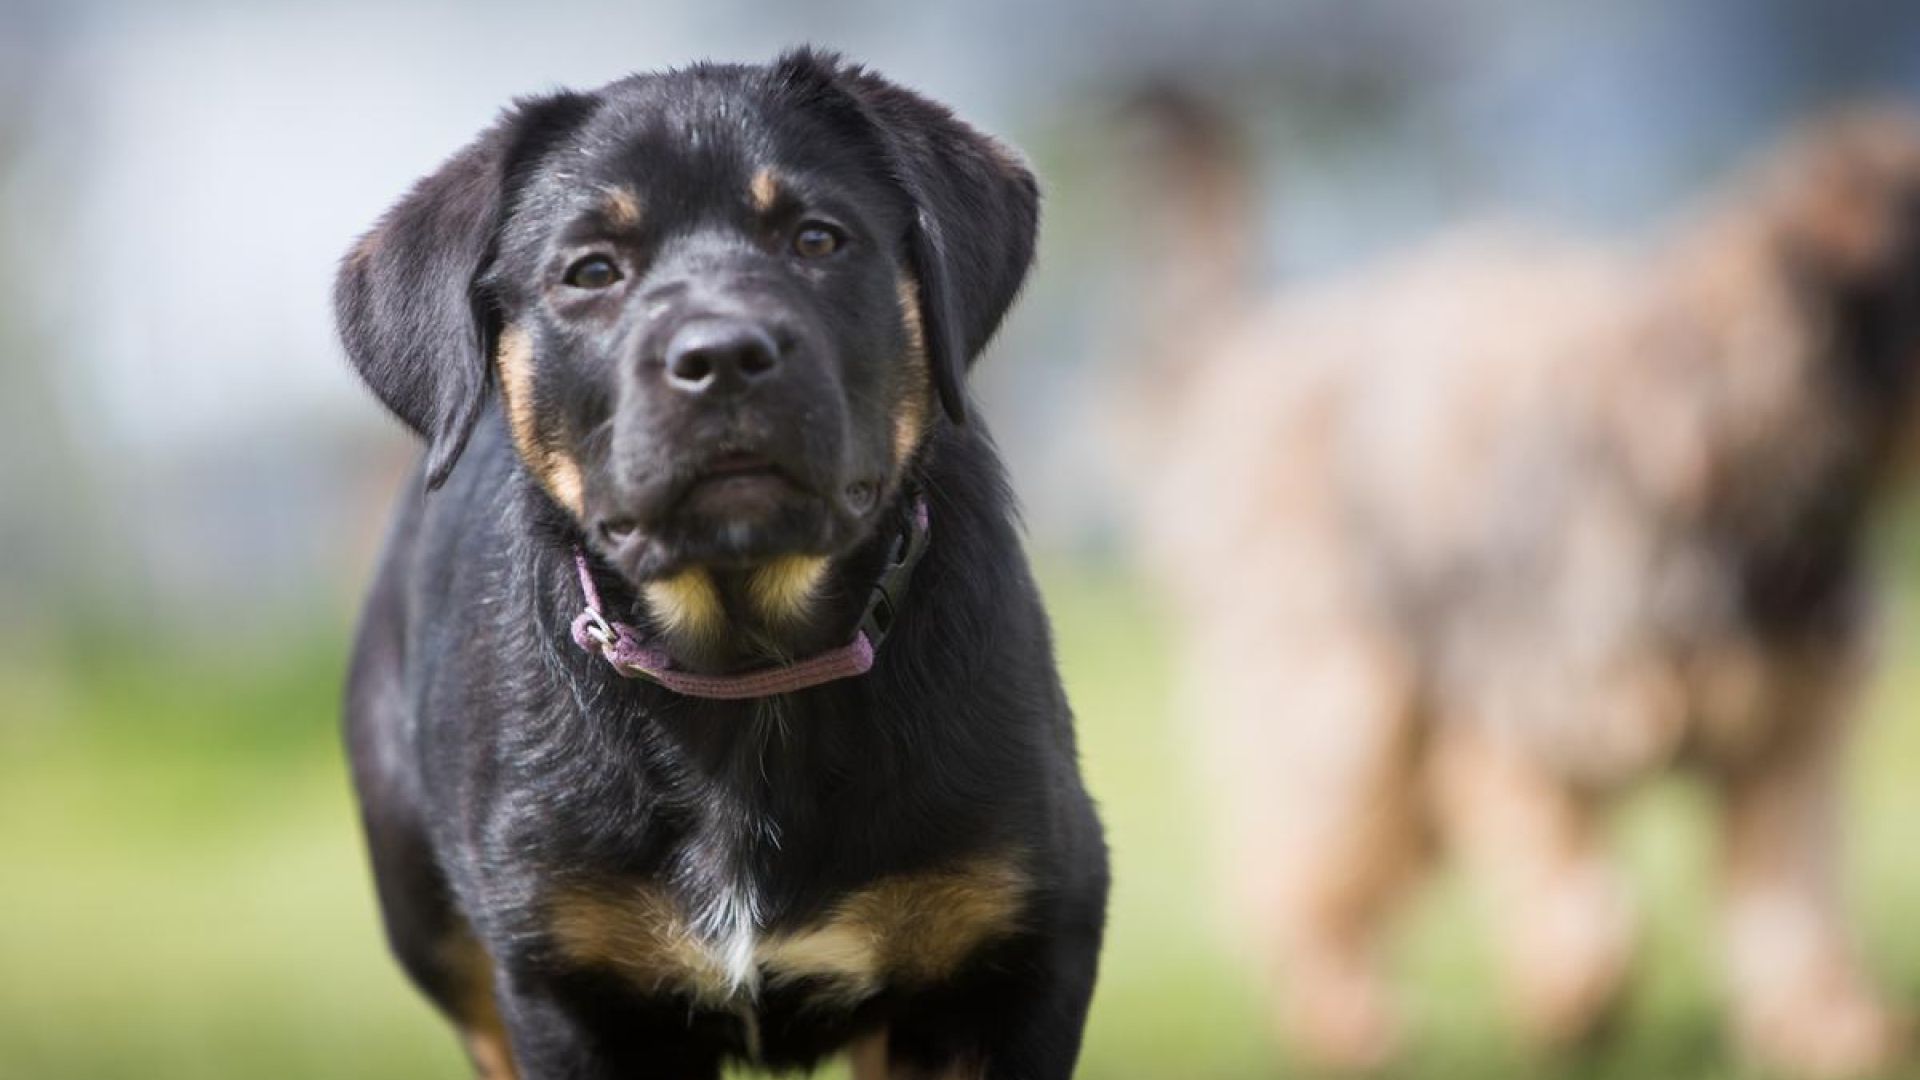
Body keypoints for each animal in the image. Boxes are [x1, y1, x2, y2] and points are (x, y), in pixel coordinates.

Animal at [332, 48, 1113, 1076]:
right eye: (592, 271)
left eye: (818, 239)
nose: (725, 355)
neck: (747, 673)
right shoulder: (563, 984)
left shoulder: (1013, 947)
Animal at [1121, 96, 1920, 1068]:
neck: (1721, 447)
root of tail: (1257, 356)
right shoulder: (1525, 729)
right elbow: (1588, 903)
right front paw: (1572, 1005)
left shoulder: (1786, 743)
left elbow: (1797, 905)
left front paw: (1828, 1031)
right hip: (1348, 713)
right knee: (1304, 871)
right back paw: (1344, 1021)